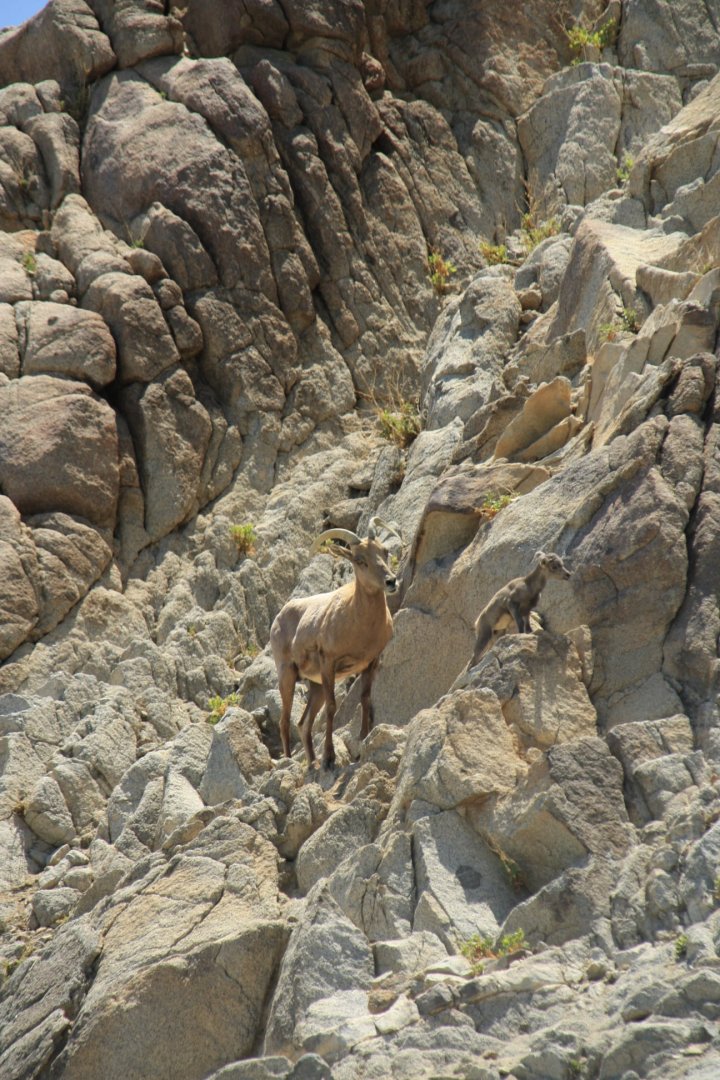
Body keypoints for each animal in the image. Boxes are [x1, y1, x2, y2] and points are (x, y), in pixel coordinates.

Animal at [270, 516, 402, 769]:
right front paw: (330, 758)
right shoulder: (329, 663)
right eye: (360, 560)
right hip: (288, 676)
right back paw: (292, 762)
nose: (391, 581)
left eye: (384, 551)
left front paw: (363, 738)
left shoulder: (370, 663)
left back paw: (312, 762)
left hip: (316, 687)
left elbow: (365, 698)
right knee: (284, 721)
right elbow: (332, 707)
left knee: (303, 724)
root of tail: (279, 617)